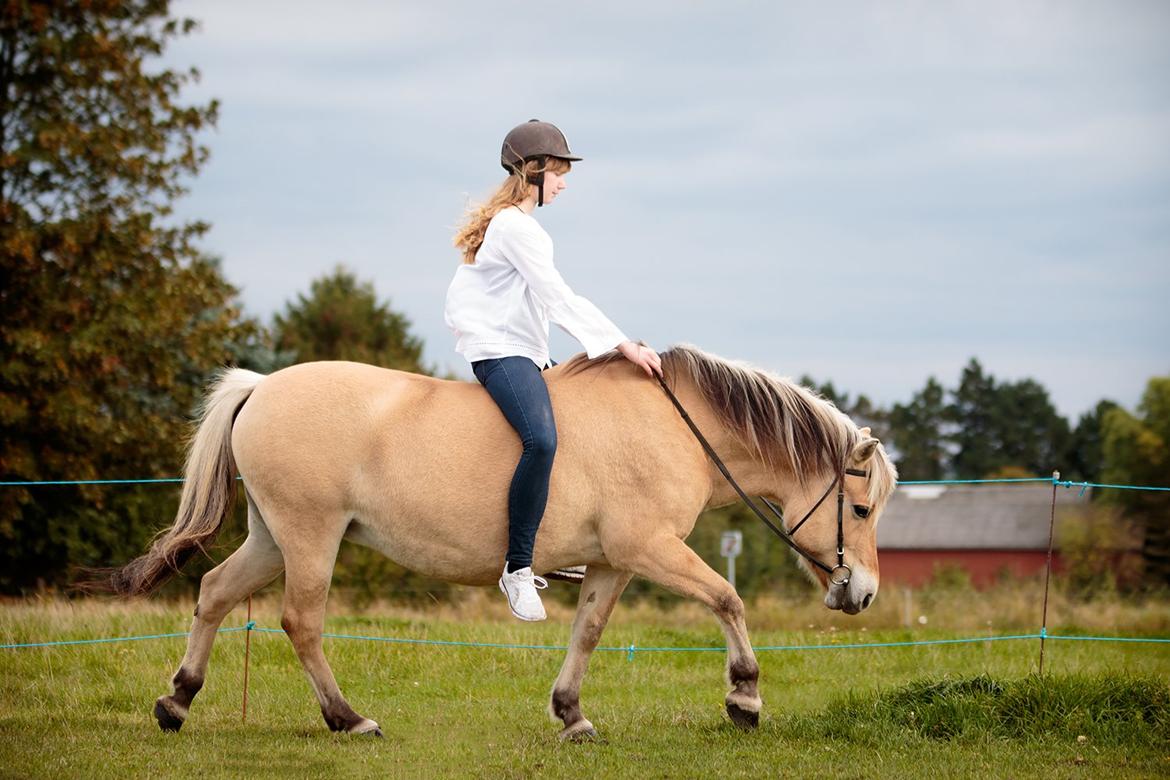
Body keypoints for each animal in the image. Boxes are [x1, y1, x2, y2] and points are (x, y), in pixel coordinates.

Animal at [109, 343, 893, 743]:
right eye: (859, 508)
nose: (864, 594)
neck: (675, 424)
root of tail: (263, 386)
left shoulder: (611, 563)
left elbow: (587, 634)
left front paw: (571, 714)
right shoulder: (649, 549)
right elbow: (728, 600)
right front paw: (744, 699)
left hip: (272, 539)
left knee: (213, 595)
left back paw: (177, 702)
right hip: (309, 538)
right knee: (301, 622)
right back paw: (346, 718)